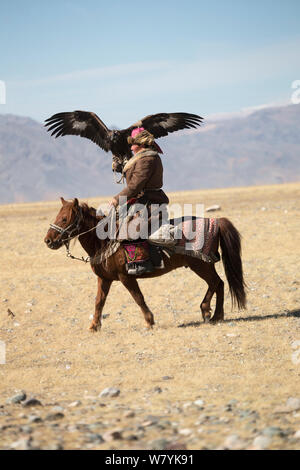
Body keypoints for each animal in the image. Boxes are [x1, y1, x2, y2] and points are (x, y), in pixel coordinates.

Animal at [44, 197, 246, 330]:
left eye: (64, 219)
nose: (48, 241)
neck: (104, 240)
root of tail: (216, 221)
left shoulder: (126, 277)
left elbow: (138, 297)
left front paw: (149, 321)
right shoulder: (104, 278)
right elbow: (99, 301)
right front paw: (94, 326)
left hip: (201, 265)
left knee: (216, 283)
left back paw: (211, 313)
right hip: (203, 265)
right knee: (219, 284)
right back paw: (213, 314)